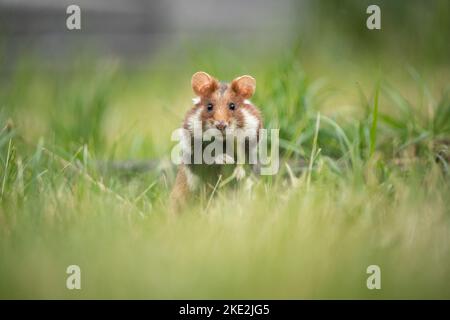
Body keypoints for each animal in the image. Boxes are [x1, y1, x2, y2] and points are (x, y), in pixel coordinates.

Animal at [170, 71, 262, 210]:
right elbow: (206, 159)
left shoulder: (250, 150)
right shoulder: (193, 156)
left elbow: (243, 163)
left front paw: (238, 174)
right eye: (209, 106)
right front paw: (225, 159)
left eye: (232, 106)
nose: (221, 125)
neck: (223, 143)